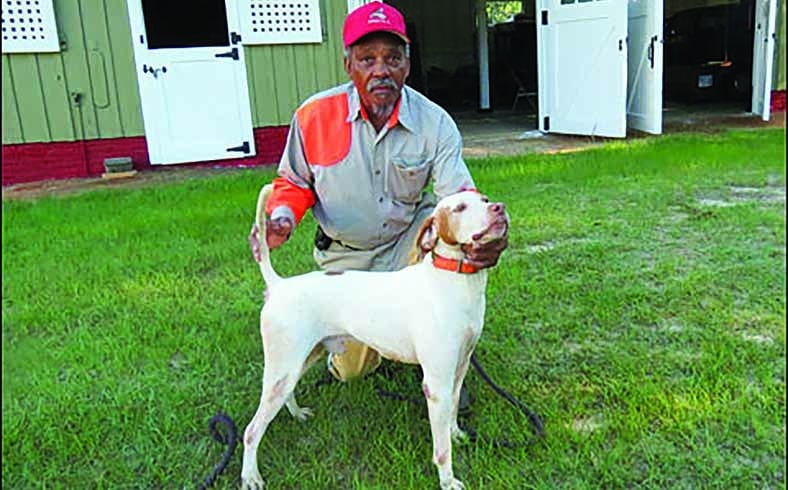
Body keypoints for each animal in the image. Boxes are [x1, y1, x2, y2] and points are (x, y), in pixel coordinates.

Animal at [242, 185, 510, 490]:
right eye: (460, 208)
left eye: (485, 200)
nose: (499, 208)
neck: (455, 281)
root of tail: (279, 285)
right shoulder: (436, 384)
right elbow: (442, 450)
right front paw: (448, 481)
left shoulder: (459, 368)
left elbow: (453, 412)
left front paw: (456, 433)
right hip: (283, 369)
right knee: (251, 431)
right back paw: (250, 477)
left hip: (300, 361)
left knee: (286, 397)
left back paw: (297, 415)